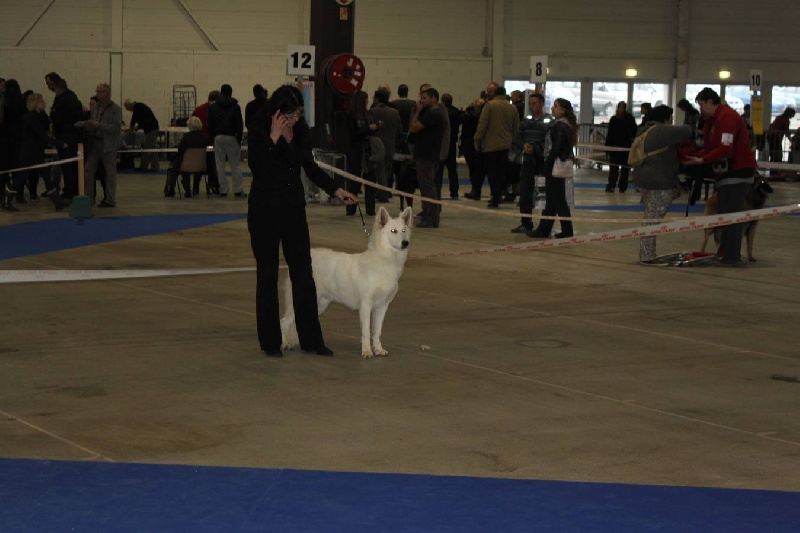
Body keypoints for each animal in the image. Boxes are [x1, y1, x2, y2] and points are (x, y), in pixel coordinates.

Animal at [281, 206, 413, 358]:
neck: (383, 260)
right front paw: (367, 351)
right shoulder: (366, 305)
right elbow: (366, 332)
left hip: (320, 304)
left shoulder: (382, 306)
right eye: (393, 231)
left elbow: (377, 332)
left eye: (404, 230)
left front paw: (378, 349)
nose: (405, 243)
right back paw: (284, 344)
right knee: (283, 322)